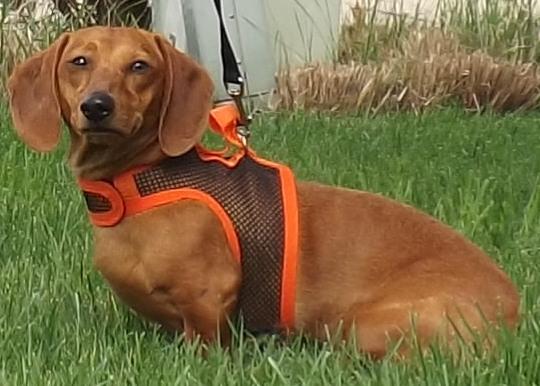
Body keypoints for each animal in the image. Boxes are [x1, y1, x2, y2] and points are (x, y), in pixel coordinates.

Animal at [7, 26, 520, 358]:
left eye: (140, 66)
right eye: (79, 61)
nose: (97, 106)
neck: (137, 183)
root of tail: (515, 313)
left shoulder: (210, 299)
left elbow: (202, 343)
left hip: (365, 326)